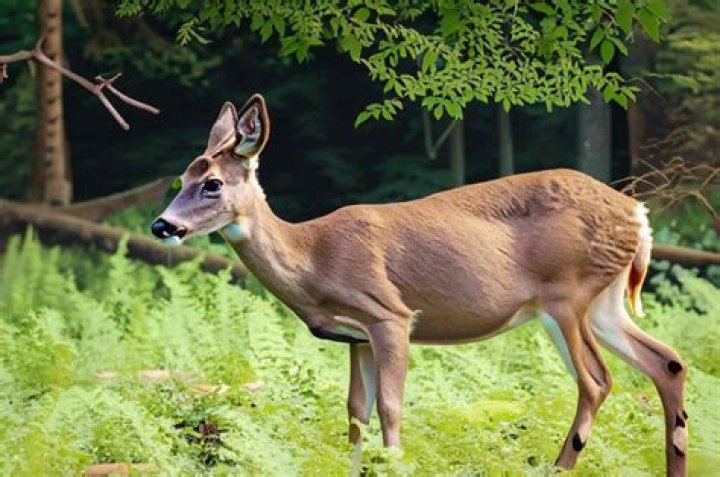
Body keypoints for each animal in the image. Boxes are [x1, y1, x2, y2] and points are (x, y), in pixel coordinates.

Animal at [151, 94, 688, 476]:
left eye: (213, 183)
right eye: (180, 178)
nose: (161, 225)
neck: (314, 259)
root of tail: (638, 213)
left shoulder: (390, 315)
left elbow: (390, 409)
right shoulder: (355, 337)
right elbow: (354, 415)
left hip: (568, 295)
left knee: (597, 381)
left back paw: (559, 465)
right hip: (605, 301)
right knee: (668, 362)